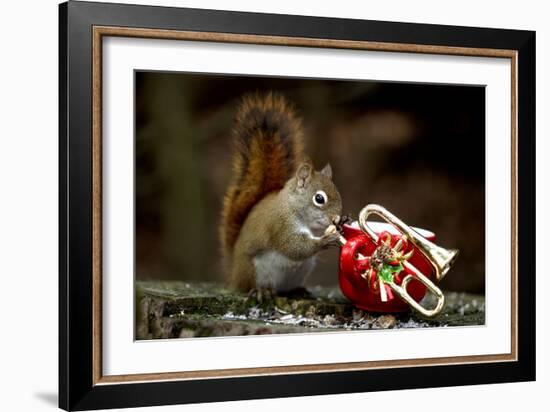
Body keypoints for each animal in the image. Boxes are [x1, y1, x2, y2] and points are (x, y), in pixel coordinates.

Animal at [221, 93, 342, 292]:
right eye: (319, 198)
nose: (336, 219)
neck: (292, 206)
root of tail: (234, 275)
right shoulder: (280, 225)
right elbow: (294, 247)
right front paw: (324, 240)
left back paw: (299, 290)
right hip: (252, 271)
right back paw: (261, 291)